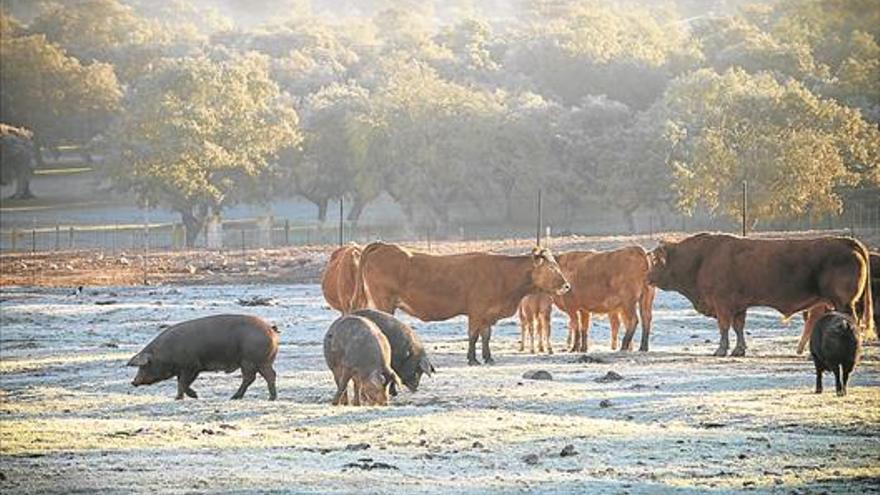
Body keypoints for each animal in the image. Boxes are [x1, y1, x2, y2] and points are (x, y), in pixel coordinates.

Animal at [350, 242, 572, 366]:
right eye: (551, 268)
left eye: (557, 265)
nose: (567, 286)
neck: (502, 274)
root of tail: (383, 245)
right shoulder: (476, 311)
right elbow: (473, 336)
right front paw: (472, 359)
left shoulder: (488, 314)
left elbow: (486, 336)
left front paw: (488, 358)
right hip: (384, 301)